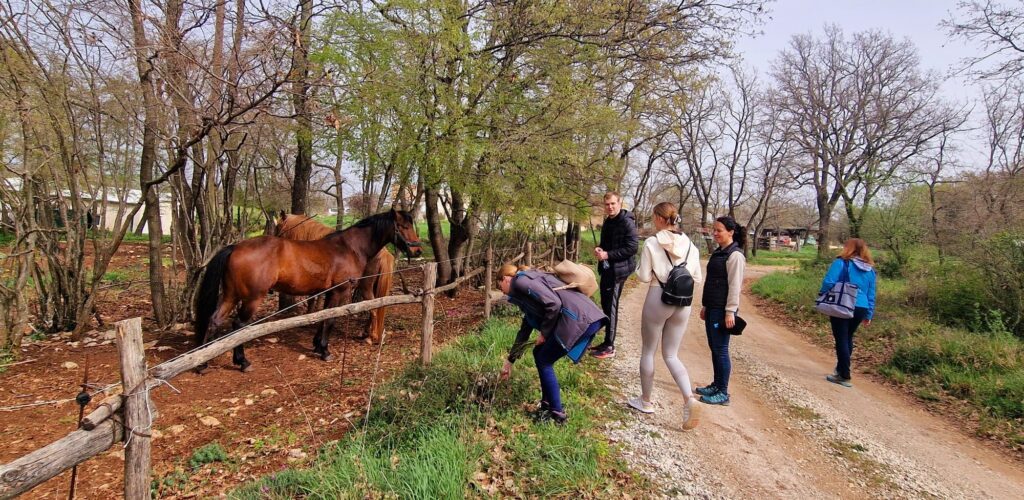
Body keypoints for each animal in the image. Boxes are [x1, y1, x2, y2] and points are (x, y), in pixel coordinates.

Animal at [272, 211, 395, 344]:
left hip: (365, 286)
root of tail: (384, 254)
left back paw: (370, 337)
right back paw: (366, 333)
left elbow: (312, 299)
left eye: (278, 227)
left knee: (373, 308)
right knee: (374, 305)